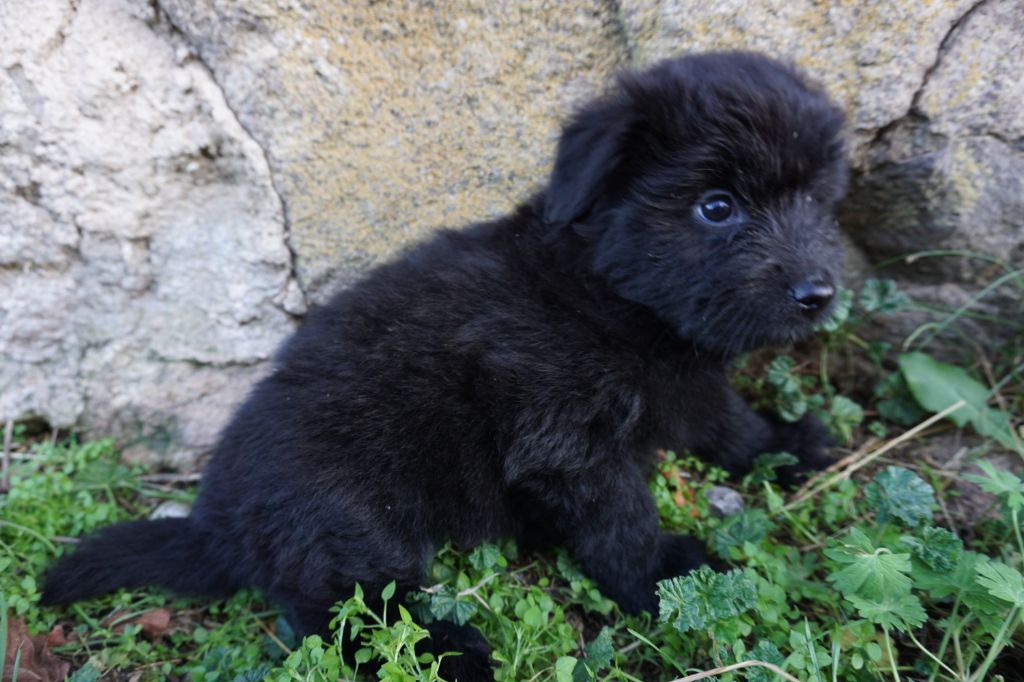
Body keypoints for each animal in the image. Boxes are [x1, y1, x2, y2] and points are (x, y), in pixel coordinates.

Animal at [44, 51, 843, 675]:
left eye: (814, 198)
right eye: (716, 206)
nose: (819, 294)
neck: (605, 292)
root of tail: (216, 525)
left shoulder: (690, 383)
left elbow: (731, 427)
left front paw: (790, 443)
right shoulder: (567, 443)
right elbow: (622, 523)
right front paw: (664, 575)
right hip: (352, 514)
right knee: (345, 614)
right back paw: (449, 652)